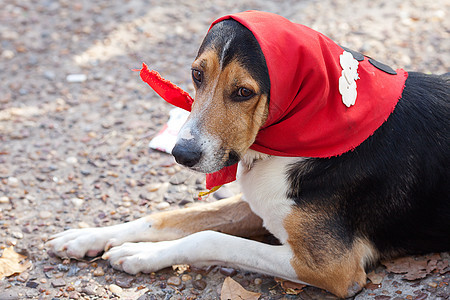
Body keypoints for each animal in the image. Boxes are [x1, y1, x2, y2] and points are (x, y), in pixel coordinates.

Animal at [47, 11, 448, 298]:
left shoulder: (332, 267)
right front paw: (88, 236)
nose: (181, 153)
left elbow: (207, 238)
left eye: (244, 92)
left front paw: (137, 254)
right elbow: (169, 217)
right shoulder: (260, 202)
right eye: (196, 74)